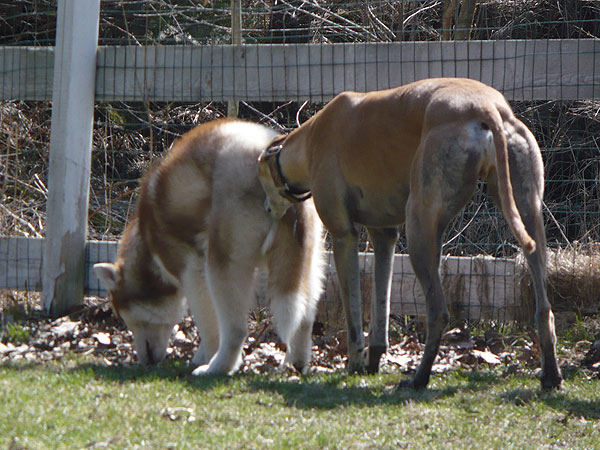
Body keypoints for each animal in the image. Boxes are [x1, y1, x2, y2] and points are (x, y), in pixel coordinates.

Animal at [95, 118, 324, 374]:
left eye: (126, 318)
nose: (144, 361)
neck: (147, 242)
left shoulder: (192, 271)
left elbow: (208, 326)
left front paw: (204, 357)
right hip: (308, 264)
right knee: (304, 318)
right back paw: (296, 363)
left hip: (222, 266)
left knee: (236, 330)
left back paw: (217, 367)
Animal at [258, 77, 564, 390]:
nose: (267, 209)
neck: (311, 138)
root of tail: (487, 105)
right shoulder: (384, 236)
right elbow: (380, 308)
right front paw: (372, 362)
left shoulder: (343, 235)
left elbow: (353, 318)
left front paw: (355, 364)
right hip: (525, 211)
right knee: (543, 305)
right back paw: (551, 374)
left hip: (419, 224)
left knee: (438, 311)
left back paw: (419, 377)